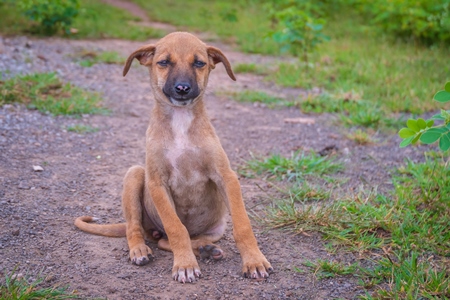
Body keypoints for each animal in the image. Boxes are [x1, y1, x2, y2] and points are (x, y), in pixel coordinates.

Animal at [75, 31, 272, 282]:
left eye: (199, 63)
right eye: (164, 62)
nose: (182, 88)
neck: (180, 120)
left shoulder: (226, 177)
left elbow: (243, 224)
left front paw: (254, 260)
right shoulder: (157, 183)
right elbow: (176, 228)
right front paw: (185, 265)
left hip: (215, 229)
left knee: (168, 241)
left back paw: (207, 248)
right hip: (135, 175)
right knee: (137, 229)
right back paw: (140, 250)